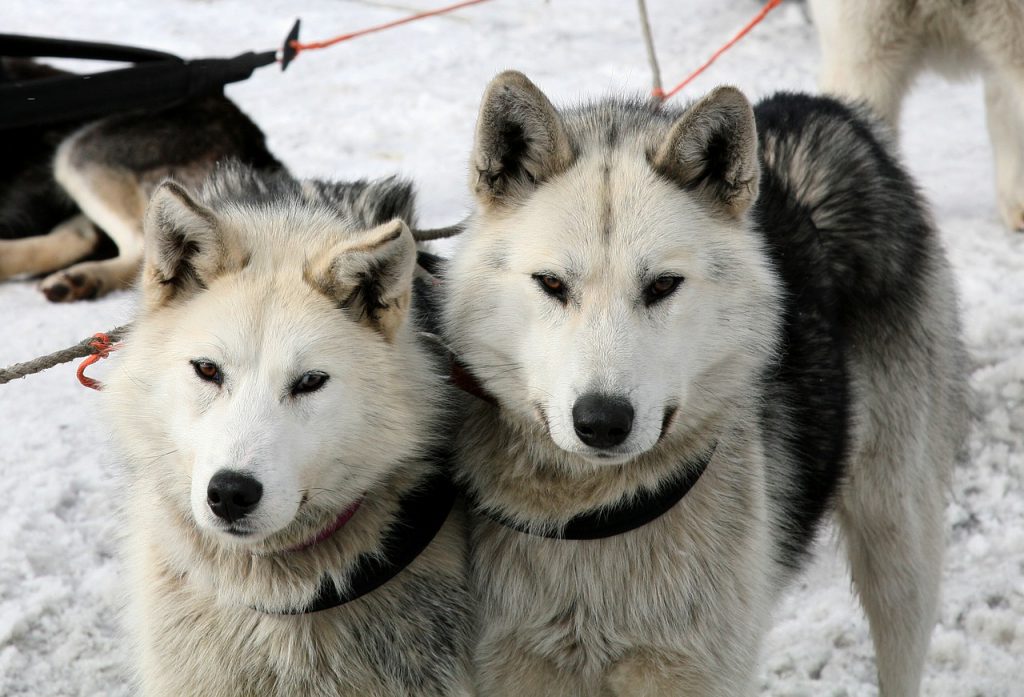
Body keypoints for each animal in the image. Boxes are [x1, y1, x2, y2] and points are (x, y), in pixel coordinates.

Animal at [442, 69, 966, 695]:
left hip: (897, 545)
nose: (602, 421)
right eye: (551, 284)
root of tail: (822, 106)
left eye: (663, 285)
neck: (594, 521)